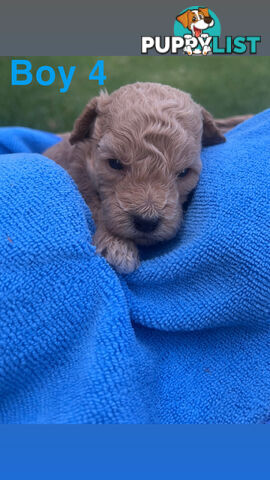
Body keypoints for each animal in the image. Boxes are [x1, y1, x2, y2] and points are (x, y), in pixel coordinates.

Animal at [43, 80, 248, 272]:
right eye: (114, 163)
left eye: (183, 173)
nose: (146, 222)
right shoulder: (80, 176)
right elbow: (96, 207)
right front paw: (117, 245)